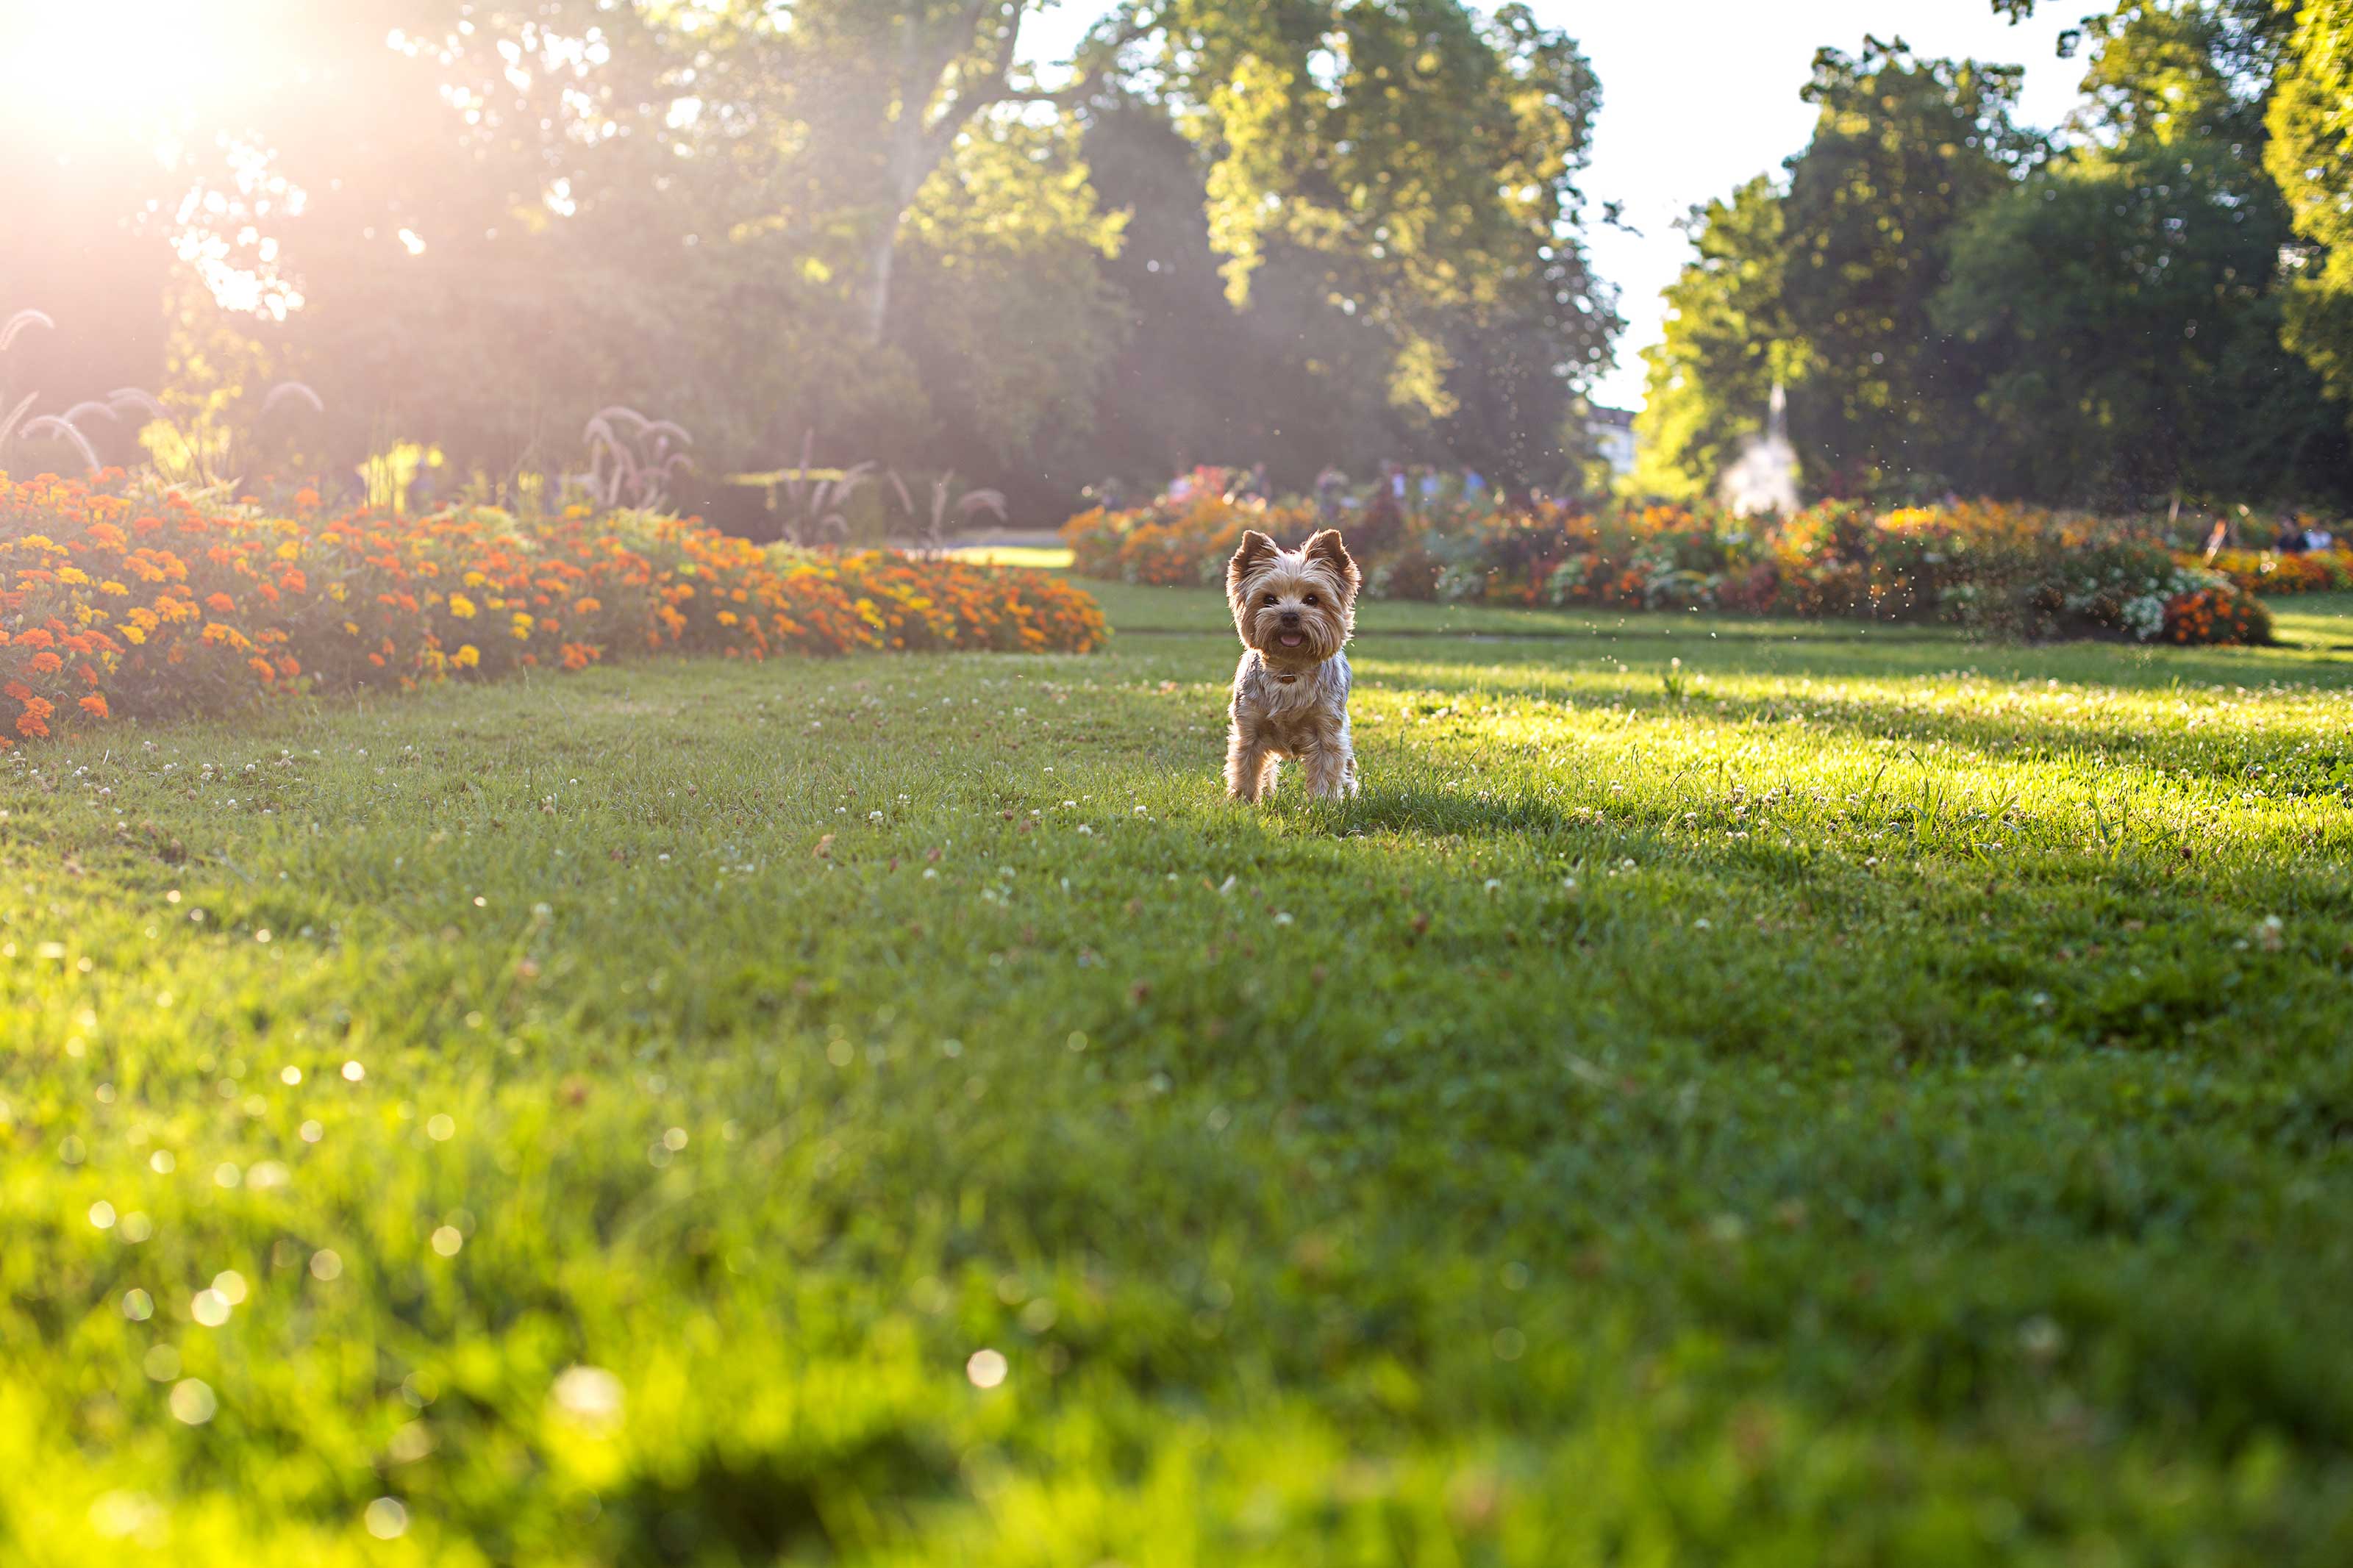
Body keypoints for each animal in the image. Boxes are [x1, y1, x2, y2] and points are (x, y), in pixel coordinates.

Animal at [1232, 531, 1365, 803]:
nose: (1290, 615)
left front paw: (1323, 804)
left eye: (1312, 599)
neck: (1289, 668)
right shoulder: (1249, 726)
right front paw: (1243, 803)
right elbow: (1246, 767)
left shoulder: (1327, 728)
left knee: (1347, 769)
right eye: (1269, 599)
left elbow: (1327, 768)